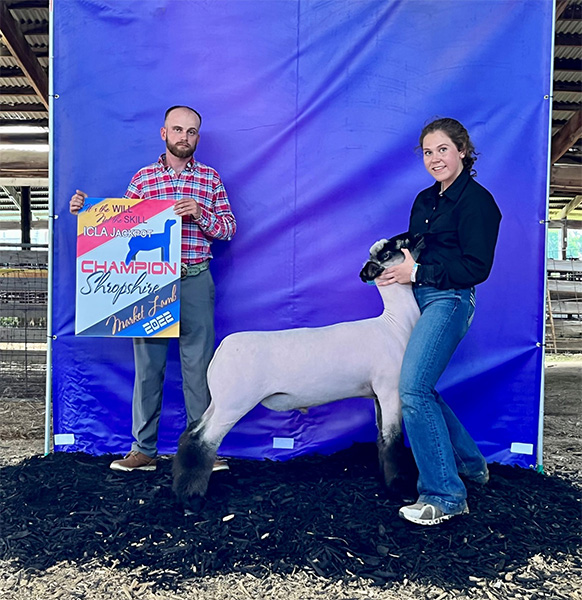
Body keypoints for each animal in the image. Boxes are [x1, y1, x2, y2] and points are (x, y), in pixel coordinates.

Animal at [173, 232, 424, 507]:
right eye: (388, 252)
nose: (416, 235)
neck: (394, 325)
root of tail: (222, 349)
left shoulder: (377, 394)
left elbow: (381, 437)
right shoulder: (390, 390)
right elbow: (393, 439)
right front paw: (399, 488)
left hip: (220, 401)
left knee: (191, 432)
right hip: (234, 404)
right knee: (203, 440)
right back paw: (190, 496)